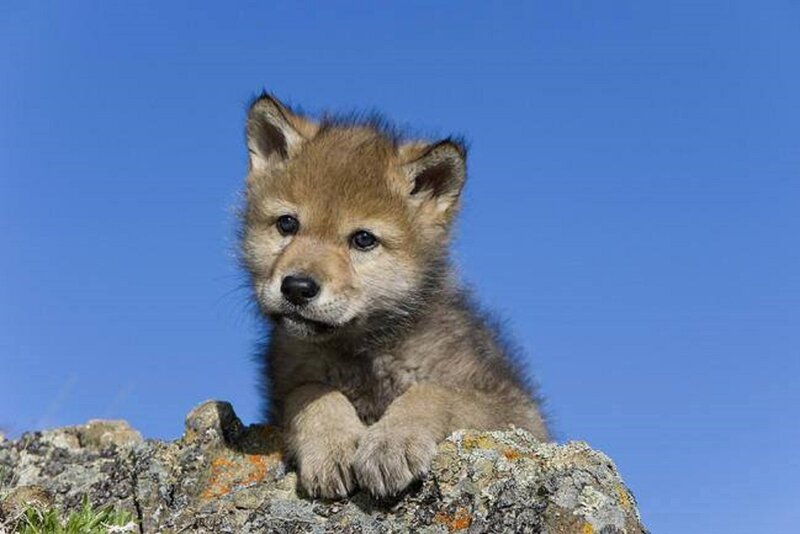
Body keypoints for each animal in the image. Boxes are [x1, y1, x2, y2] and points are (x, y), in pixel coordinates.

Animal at [241, 93, 549, 500]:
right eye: (287, 224)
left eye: (363, 239)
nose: (297, 288)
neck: (364, 352)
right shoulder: (286, 391)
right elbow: (313, 392)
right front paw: (332, 444)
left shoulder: (517, 411)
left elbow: (434, 393)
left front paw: (392, 441)